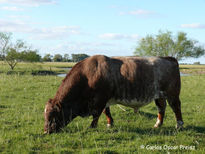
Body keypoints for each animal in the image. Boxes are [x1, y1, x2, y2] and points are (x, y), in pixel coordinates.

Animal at [44, 55, 183, 134]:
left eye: (53, 115)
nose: (46, 131)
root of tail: (167, 58)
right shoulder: (105, 99)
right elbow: (106, 112)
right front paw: (110, 124)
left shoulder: (100, 99)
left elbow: (97, 114)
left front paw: (92, 127)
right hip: (159, 95)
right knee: (161, 108)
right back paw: (158, 124)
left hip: (172, 93)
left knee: (176, 107)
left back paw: (179, 125)